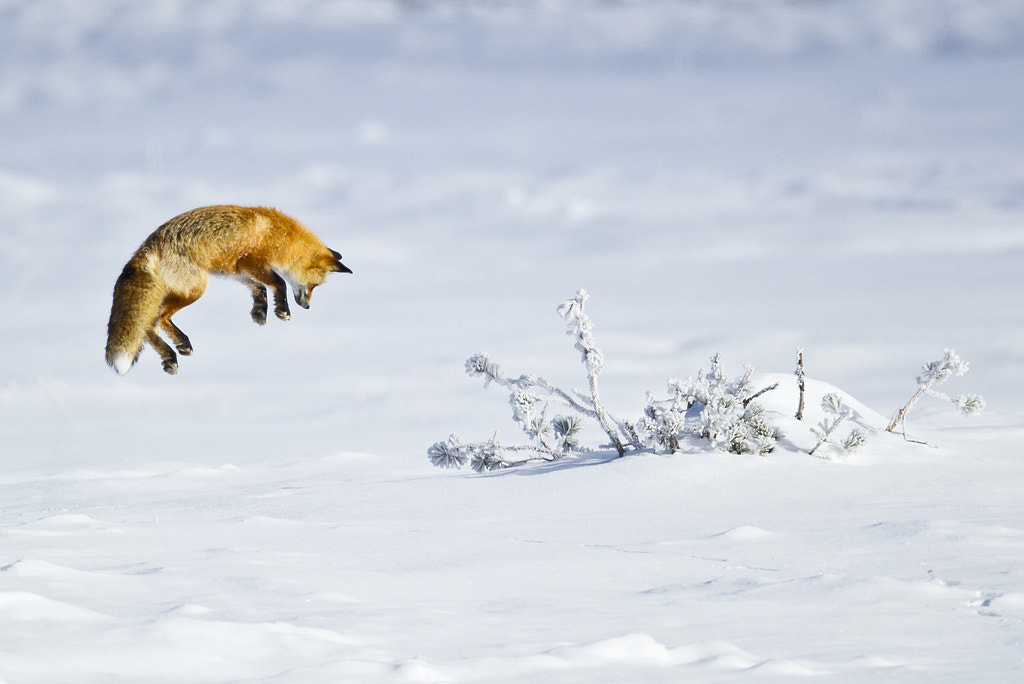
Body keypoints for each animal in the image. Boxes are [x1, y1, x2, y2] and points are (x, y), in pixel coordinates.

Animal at [104, 204, 352, 374]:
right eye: (313, 286)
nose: (307, 306)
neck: (280, 237)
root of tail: (147, 246)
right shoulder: (249, 260)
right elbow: (279, 282)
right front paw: (282, 310)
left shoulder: (234, 269)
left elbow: (259, 287)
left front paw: (260, 311)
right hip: (196, 288)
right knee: (158, 319)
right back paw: (180, 345)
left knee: (149, 325)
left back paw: (170, 356)